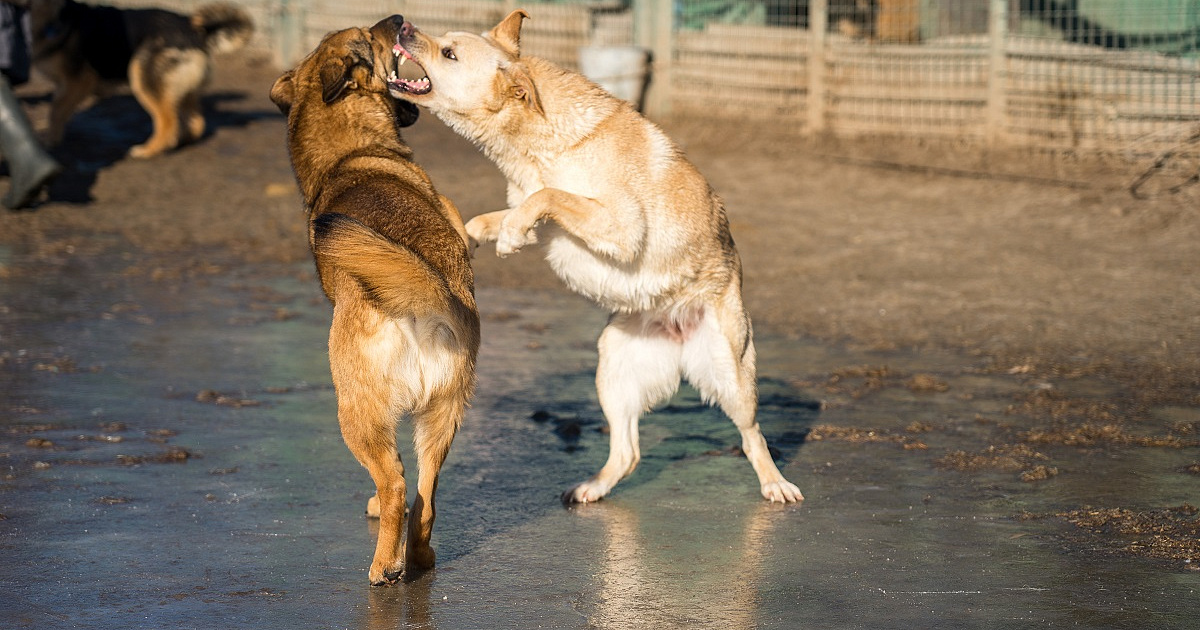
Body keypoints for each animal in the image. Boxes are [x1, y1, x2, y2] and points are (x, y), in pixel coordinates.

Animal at [28, 0, 253, 157]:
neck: (55, 15)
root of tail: (195, 30)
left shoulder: (78, 81)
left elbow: (56, 110)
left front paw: (49, 142)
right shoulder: (66, 86)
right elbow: (58, 109)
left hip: (141, 76)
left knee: (167, 123)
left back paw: (149, 150)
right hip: (180, 89)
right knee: (196, 121)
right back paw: (182, 140)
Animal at [272, 15, 477, 585]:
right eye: (372, 36)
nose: (398, 20)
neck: (349, 152)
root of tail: (424, 301)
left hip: (357, 414)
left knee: (395, 488)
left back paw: (385, 566)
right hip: (441, 417)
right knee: (423, 498)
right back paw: (418, 559)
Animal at [393, 12, 806, 506]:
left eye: (449, 52)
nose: (402, 26)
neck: (539, 140)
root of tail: (677, 333)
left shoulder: (623, 226)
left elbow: (547, 197)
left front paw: (510, 237)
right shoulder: (540, 214)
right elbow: (491, 217)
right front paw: (473, 237)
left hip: (732, 375)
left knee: (752, 435)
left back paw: (775, 483)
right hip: (613, 368)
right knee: (628, 452)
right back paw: (592, 487)